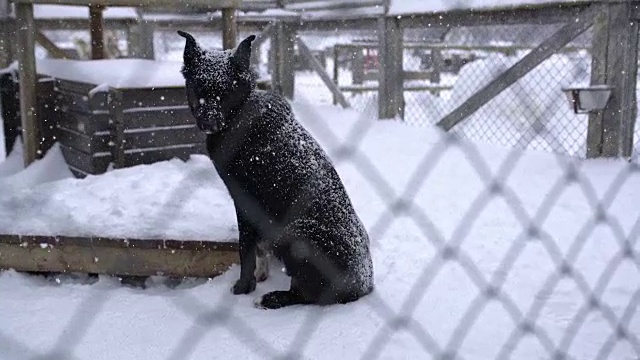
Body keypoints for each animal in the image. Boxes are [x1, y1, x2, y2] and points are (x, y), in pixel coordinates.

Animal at [178, 31, 372, 310]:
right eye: (197, 89)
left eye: (226, 92)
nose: (209, 122)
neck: (239, 114)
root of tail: (363, 286)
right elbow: (258, 247)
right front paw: (260, 275)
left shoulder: (245, 200)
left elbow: (246, 248)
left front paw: (243, 287)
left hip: (297, 232)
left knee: (308, 296)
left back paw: (271, 298)